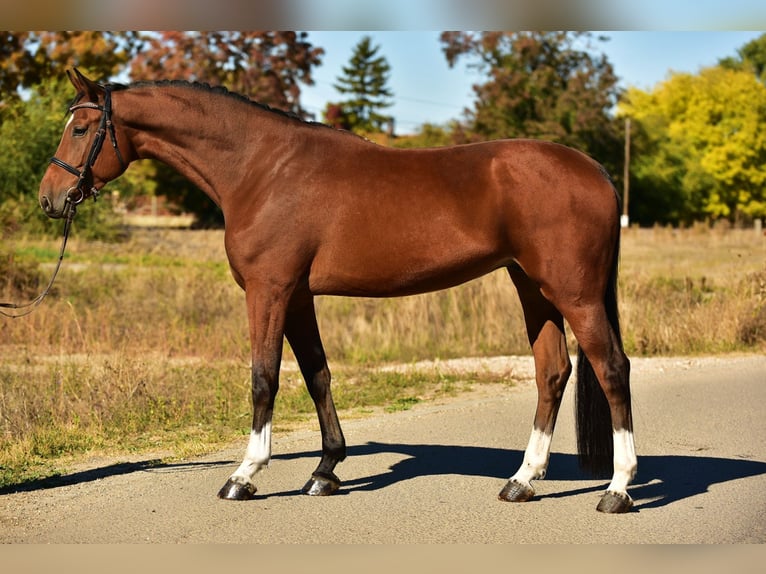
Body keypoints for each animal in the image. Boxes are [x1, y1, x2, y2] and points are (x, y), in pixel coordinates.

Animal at [39, 69, 636, 513]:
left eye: (79, 129)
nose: (50, 197)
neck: (261, 167)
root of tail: (596, 171)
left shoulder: (269, 291)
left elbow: (264, 378)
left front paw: (245, 475)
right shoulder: (298, 296)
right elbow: (317, 375)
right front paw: (325, 471)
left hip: (574, 293)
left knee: (611, 369)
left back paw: (617, 489)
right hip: (532, 287)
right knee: (552, 372)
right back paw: (523, 481)